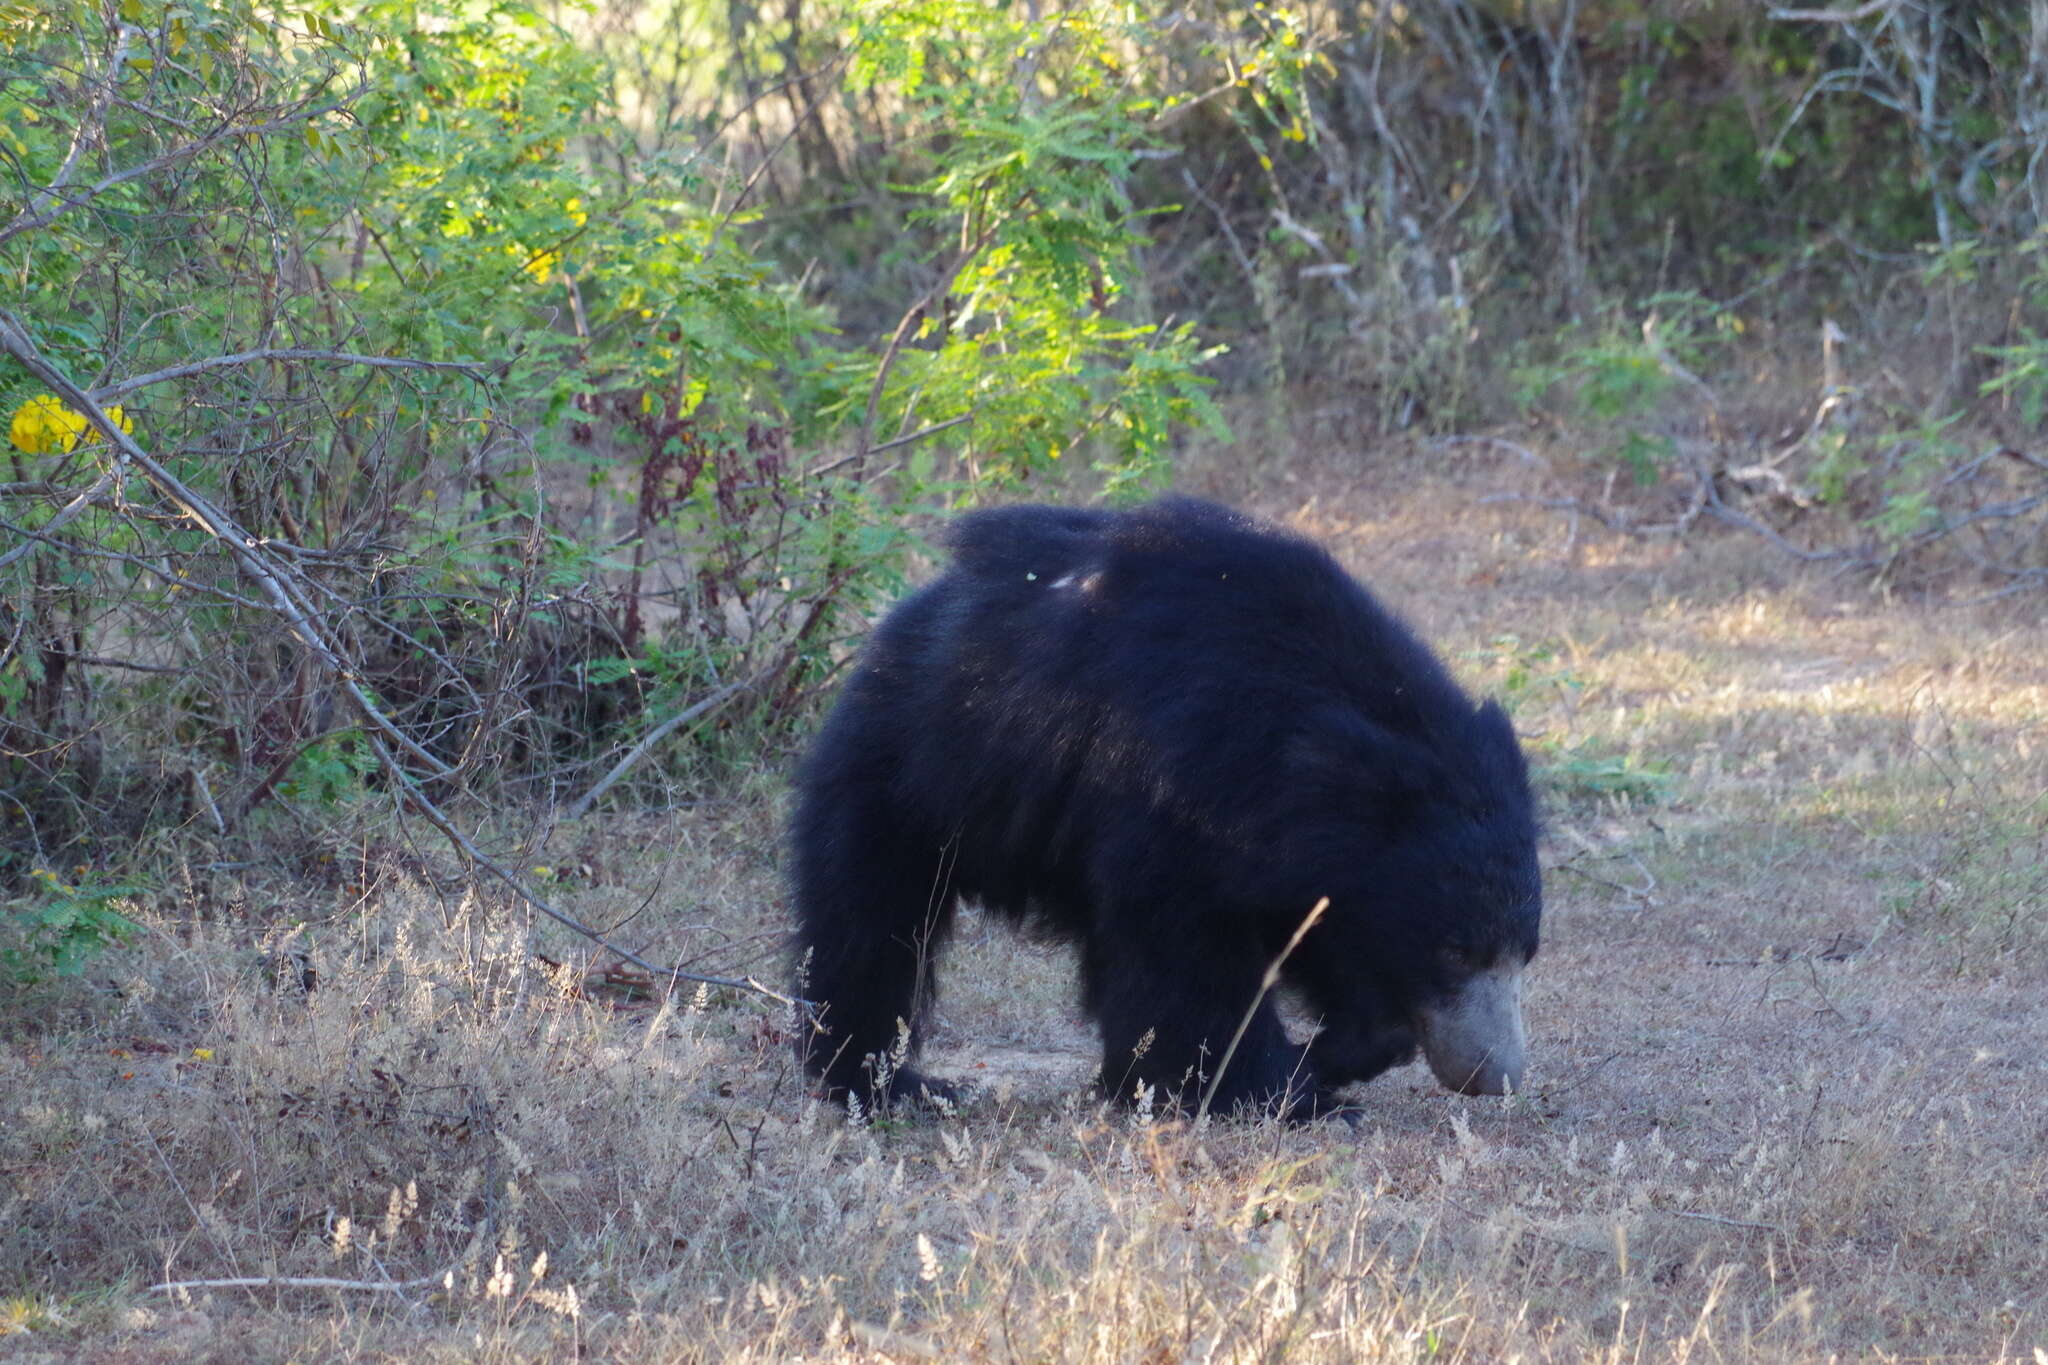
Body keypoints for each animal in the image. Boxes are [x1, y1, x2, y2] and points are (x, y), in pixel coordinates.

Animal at [790, 497, 1540, 1113]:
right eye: (1455, 950)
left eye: (1524, 955)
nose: (1496, 1075)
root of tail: (904, 620)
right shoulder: (1171, 786)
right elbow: (1186, 952)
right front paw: (1270, 1089)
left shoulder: (1307, 863)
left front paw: (1338, 1050)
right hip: (912, 770)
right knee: (871, 916)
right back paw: (885, 1080)